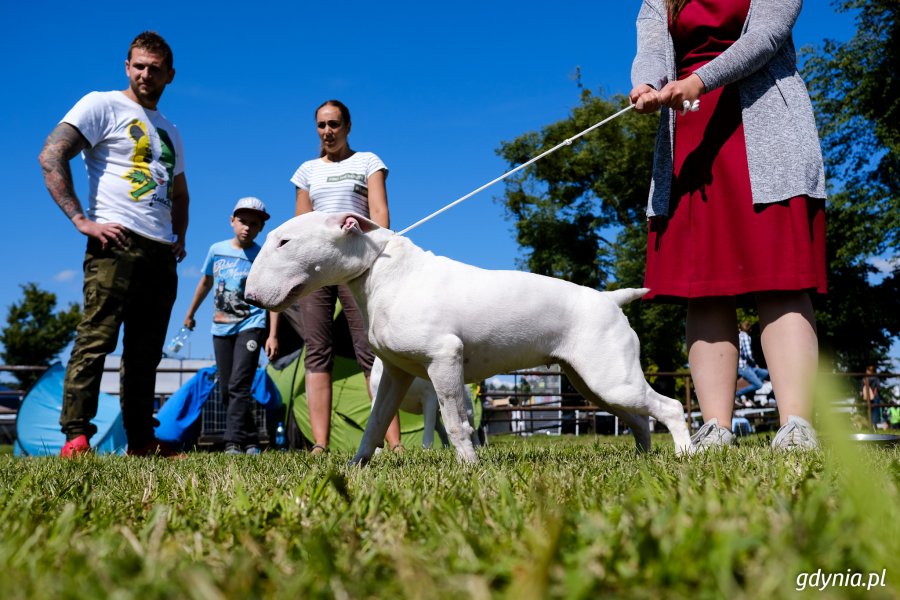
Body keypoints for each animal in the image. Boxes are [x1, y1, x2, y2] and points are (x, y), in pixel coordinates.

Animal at [246, 212, 696, 464]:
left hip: (610, 380)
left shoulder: (444, 359)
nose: (249, 297)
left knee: (670, 407)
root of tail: (609, 298)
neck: (381, 269)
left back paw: (686, 454)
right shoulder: (395, 374)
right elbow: (375, 425)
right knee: (638, 418)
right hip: (592, 383)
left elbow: (454, 421)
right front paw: (356, 468)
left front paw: (469, 467)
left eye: (284, 241)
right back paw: (643, 457)